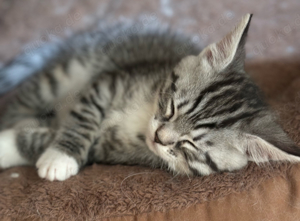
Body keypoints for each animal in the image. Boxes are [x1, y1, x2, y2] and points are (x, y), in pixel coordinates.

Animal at [0, 14, 300, 181]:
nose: (158, 137)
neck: (145, 113)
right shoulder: (109, 81)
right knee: (23, 101)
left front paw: (28, 151)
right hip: (68, 73)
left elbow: (41, 140)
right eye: (172, 107)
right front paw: (60, 153)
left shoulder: (117, 149)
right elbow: (82, 117)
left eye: (189, 144)